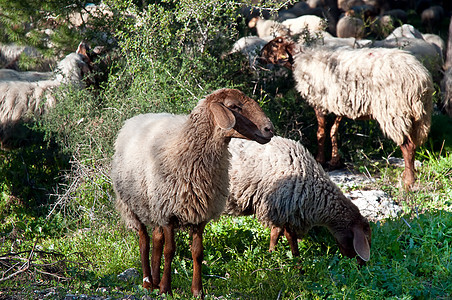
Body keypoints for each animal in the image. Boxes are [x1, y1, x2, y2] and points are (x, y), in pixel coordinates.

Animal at [111, 88, 274, 296]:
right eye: (234, 106)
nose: (269, 129)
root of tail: (136, 118)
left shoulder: (199, 214)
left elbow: (197, 252)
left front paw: (197, 291)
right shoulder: (169, 213)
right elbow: (170, 250)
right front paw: (166, 289)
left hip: (155, 206)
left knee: (156, 238)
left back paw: (154, 280)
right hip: (132, 205)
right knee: (144, 240)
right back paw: (148, 282)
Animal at [226, 136, 370, 264]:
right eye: (366, 240)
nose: (361, 266)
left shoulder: (280, 211)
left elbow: (275, 235)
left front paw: (271, 255)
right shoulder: (286, 211)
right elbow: (292, 244)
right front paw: (298, 267)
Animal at [258, 37, 434, 190]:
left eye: (272, 46)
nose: (259, 57)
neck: (300, 59)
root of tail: (420, 78)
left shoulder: (319, 102)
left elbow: (321, 133)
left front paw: (320, 159)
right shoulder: (339, 105)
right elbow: (333, 132)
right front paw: (334, 161)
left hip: (394, 110)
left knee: (408, 146)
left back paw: (408, 181)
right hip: (418, 115)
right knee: (413, 144)